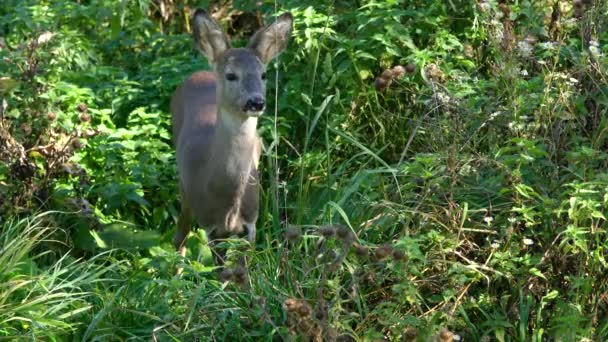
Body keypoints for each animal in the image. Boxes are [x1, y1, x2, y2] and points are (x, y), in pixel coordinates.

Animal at [171, 7, 294, 264]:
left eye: (264, 74)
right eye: (231, 75)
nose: (256, 102)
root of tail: (200, 72)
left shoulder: (251, 225)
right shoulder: (211, 227)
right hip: (185, 190)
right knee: (180, 236)